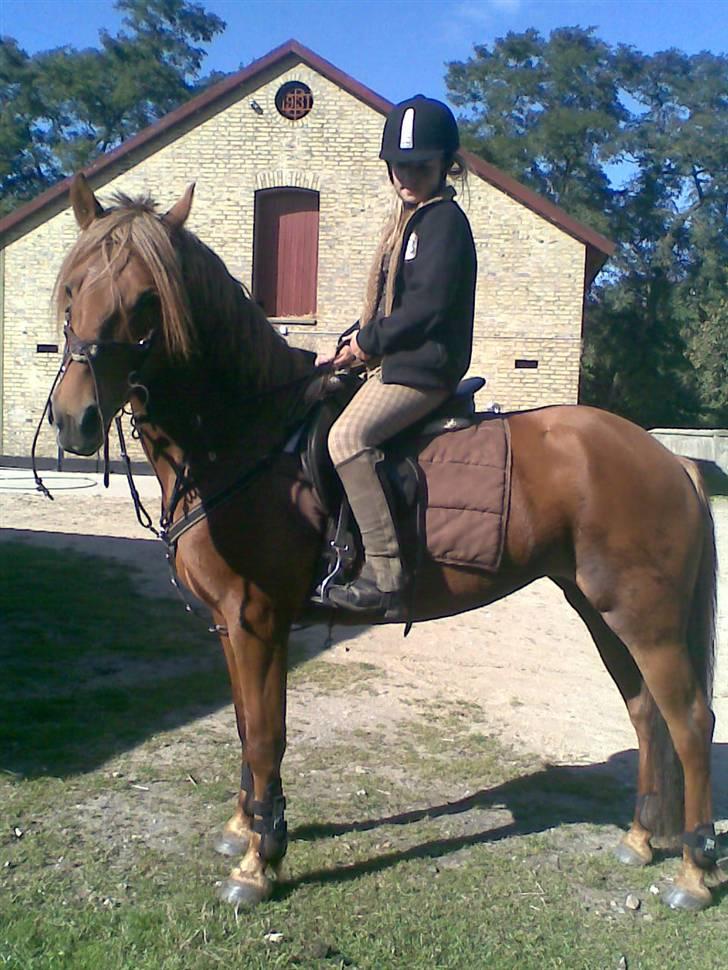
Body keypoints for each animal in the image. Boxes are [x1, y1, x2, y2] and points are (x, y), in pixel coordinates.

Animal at [45, 173, 720, 912]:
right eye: (72, 289)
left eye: (145, 302)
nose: (75, 420)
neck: (249, 433)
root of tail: (668, 458)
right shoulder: (230, 625)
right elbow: (246, 727)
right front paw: (245, 827)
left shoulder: (257, 621)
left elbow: (267, 736)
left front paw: (258, 861)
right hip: (601, 610)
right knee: (645, 712)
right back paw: (640, 839)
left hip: (645, 620)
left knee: (690, 722)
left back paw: (694, 871)